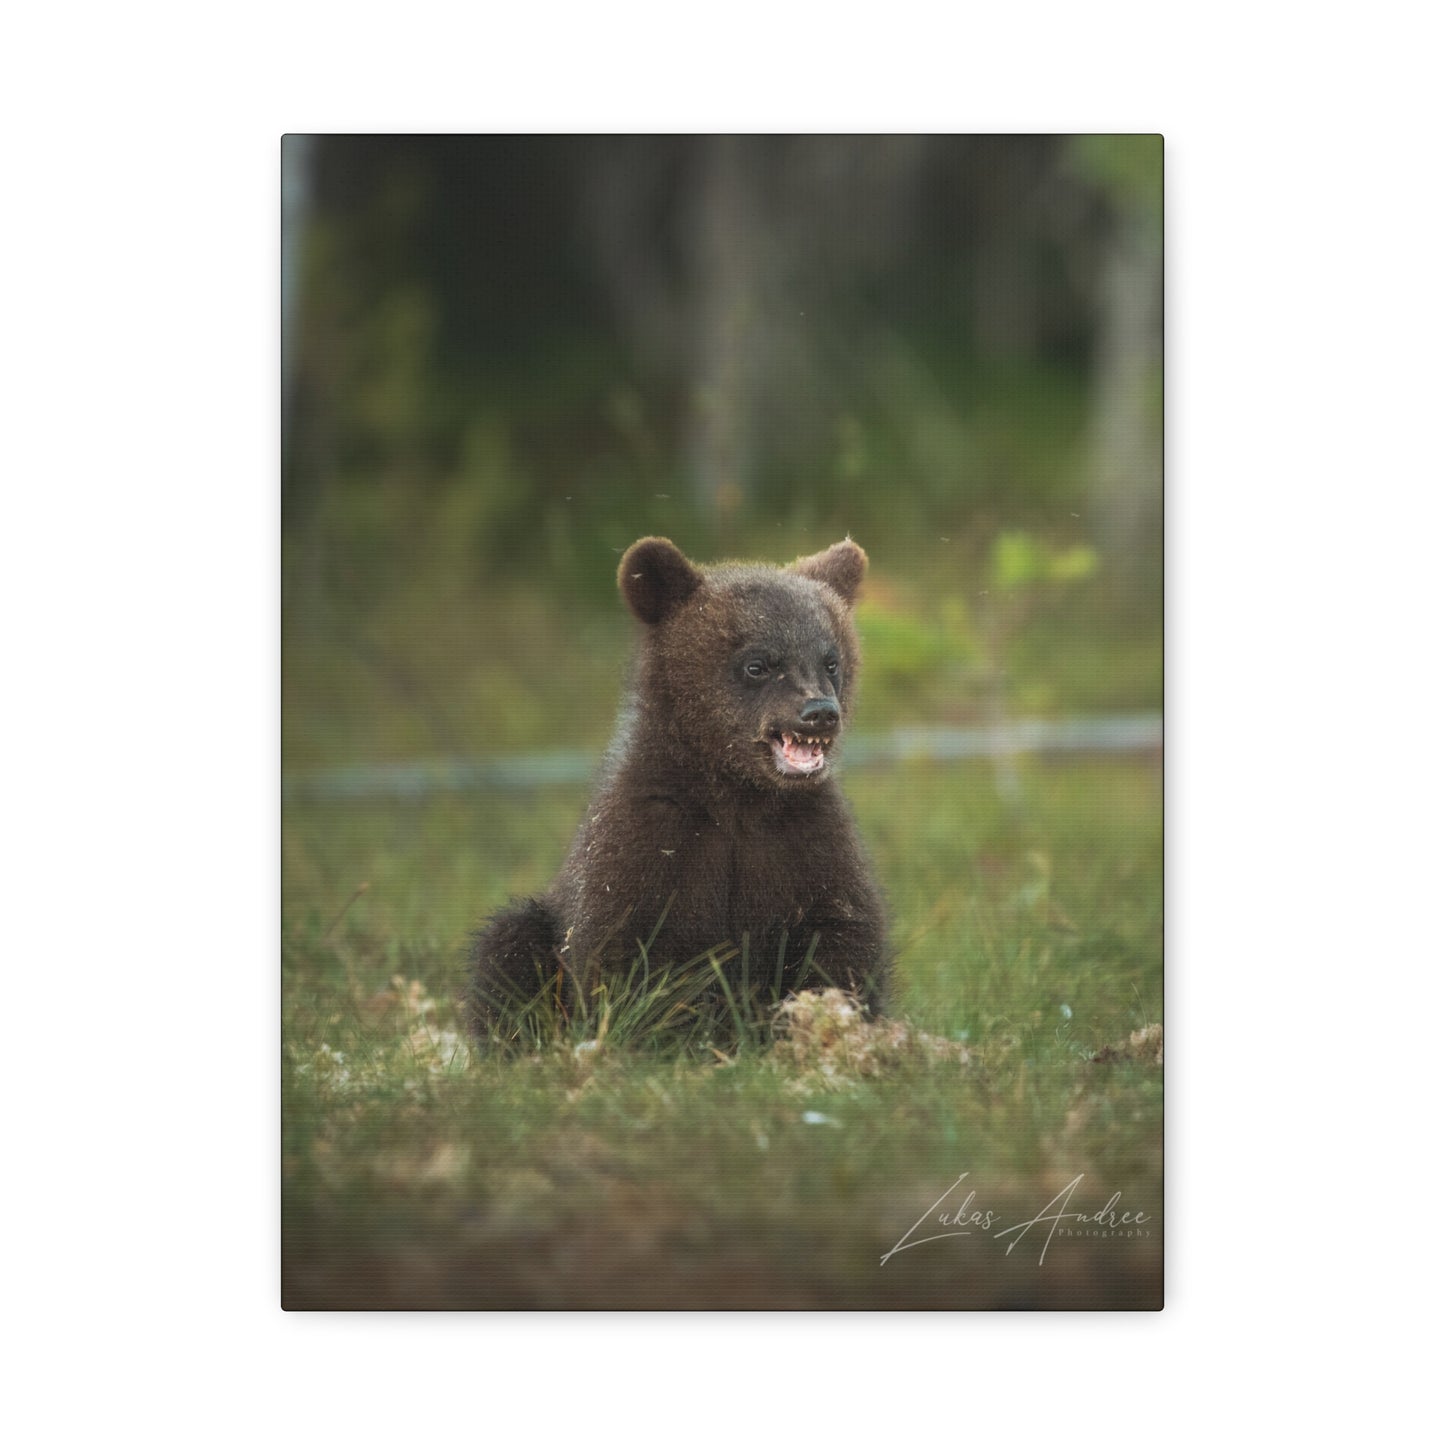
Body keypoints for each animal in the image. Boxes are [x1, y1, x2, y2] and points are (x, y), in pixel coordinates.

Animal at [465, 536, 889, 1042]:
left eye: (831, 660)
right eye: (757, 664)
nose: (819, 712)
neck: (737, 797)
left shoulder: (804, 840)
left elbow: (840, 937)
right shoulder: (650, 838)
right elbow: (627, 951)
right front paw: (667, 1035)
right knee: (507, 945)